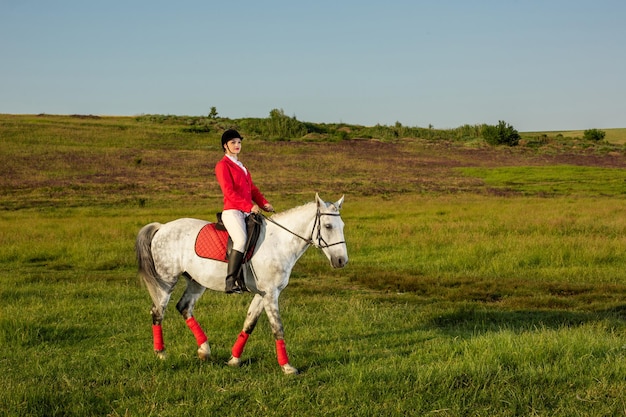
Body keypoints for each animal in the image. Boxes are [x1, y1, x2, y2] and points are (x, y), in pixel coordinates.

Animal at [134, 194, 346, 374]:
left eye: (342, 225)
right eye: (328, 226)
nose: (341, 261)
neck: (279, 243)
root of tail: (162, 227)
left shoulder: (263, 294)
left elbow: (249, 324)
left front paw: (234, 359)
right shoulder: (271, 294)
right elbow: (277, 328)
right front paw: (287, 367)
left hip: (196, 282)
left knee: (184, 307)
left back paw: (204, 350)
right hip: (166, 281)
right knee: (158, 312)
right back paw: (161, 353)